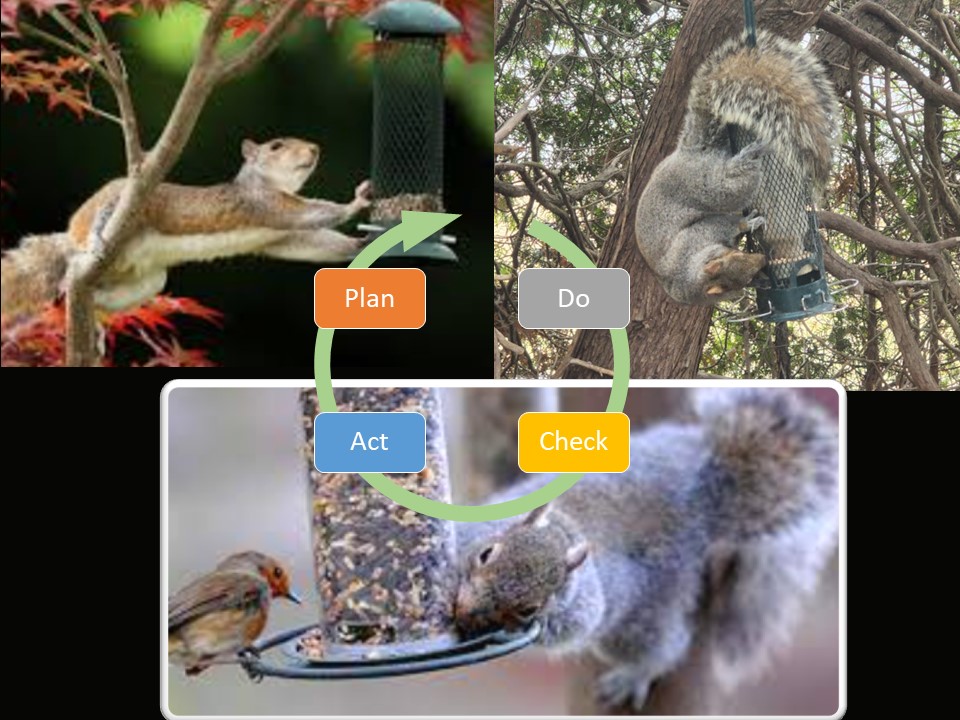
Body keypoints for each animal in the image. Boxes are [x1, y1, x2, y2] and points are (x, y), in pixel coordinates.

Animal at [0, 137, 372, 320]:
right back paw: (90, 247)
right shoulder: (265, 205)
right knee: (92, 235)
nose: (314, 149)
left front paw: (360, 244)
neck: (265, 183)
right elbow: (312, 213)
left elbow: (308, 241)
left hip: (148, 280)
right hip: (119, 206)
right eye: (275, 147)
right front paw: (356, 202)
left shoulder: (281, 236)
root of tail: (72, 233)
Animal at [455, 388, 839, 710]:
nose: (466, 611)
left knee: (666, 645)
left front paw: (541, 626)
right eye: (486, 553)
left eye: (529, 608)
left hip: (646, 612)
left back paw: (637, 673)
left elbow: (578, 623)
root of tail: (703, 497)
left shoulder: (587, 600)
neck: (565, 529)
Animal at [634, 30, 836, 305]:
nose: (763, 263)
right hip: (711, 186)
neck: (689, 272)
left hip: (703, 182)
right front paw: (750, 226)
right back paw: (750, 158)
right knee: (730, 182)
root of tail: (687, 153)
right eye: (745, 276)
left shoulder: (700, 233)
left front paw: (746, 223)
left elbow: (728, 224)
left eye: (736, 257)